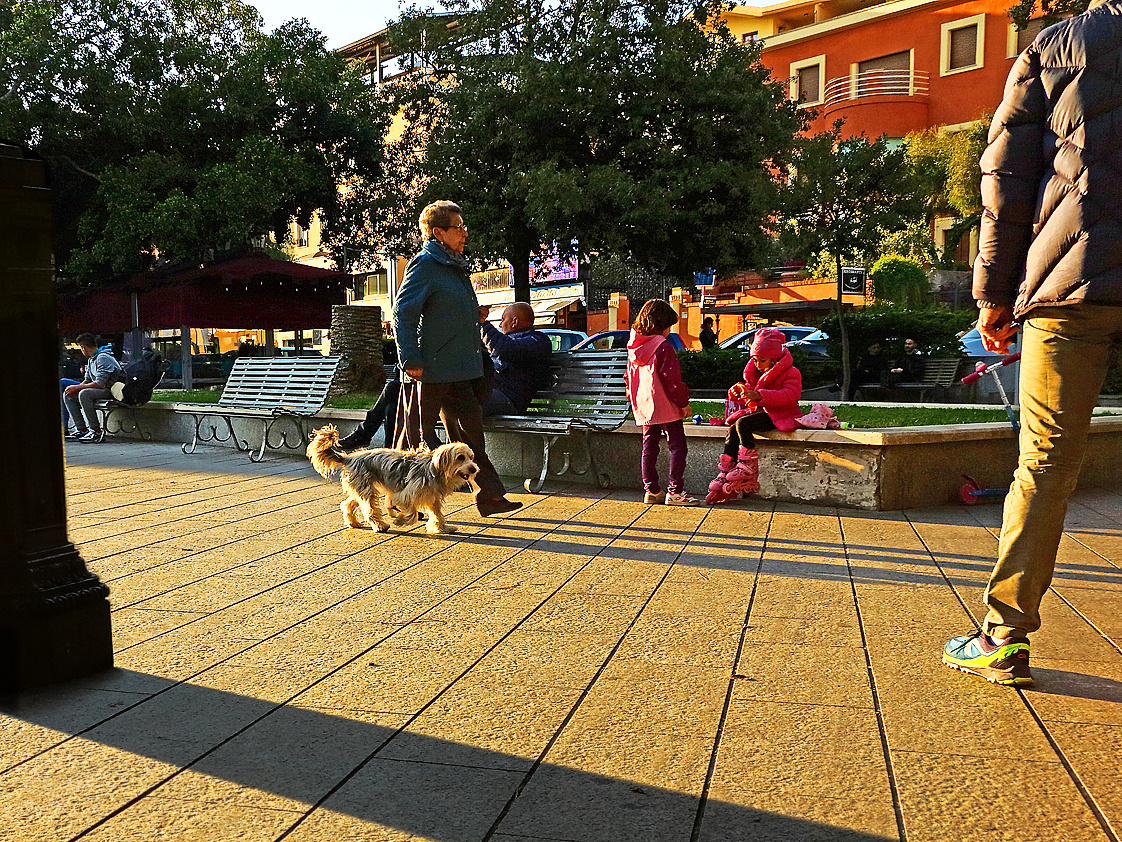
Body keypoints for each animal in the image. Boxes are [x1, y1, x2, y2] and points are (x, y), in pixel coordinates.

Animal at [307, 424, 477, 536]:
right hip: (367, 490)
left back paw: (353, 522)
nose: (474, 469)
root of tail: (349, 458)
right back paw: (380, 526)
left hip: (360, 489)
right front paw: (400, 521)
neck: (433, 468)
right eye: (460, 458)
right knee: (370, 511)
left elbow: (437, 515)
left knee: (347, 504)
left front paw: (443, 528)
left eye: (471, 457)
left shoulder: (433, 499)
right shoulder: (404, 495)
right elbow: (412, 512)